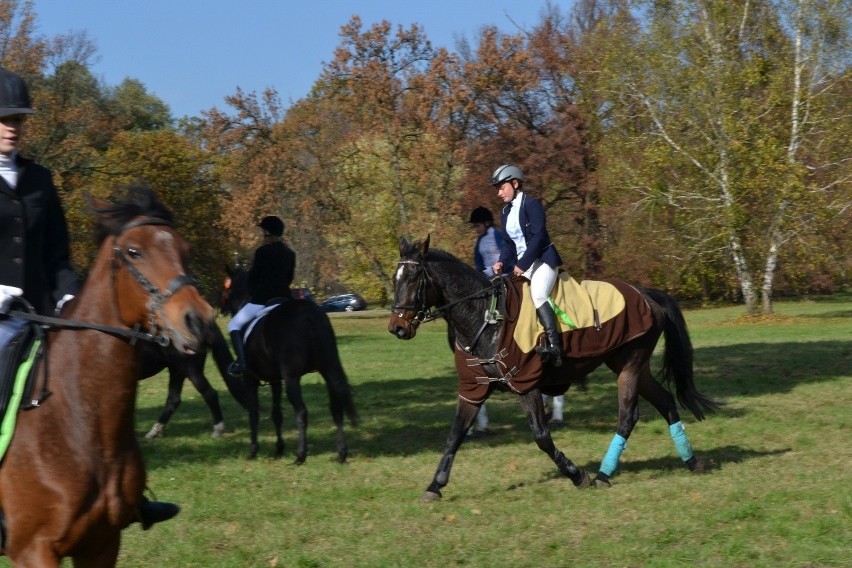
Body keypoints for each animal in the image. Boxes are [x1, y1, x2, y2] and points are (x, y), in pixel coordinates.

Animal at [223, 266, 356, 462]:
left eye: (227, 289)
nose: (222, 309)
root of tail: (308, 314)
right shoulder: (275, 380)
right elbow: (276, 414)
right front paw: (279, 448)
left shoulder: (250, 380)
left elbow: (253, 413)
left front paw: (253, 450)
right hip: (328, 369)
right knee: (336, 409)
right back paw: (341, 453)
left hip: (291, 378)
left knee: (301, 411)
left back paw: (300, 455)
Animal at [390, 236, 724, 502]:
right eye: (395, 279)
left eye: (413, 278)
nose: (397, 328)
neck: (486, 316)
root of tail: (645, 293)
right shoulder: (474, 389)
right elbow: (455, 435)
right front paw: (434, 486)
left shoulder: (526, 386)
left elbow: (541, 437)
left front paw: (577, 474)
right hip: (632, 367)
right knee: (666, 403)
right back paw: (692, 461)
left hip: (630, 366)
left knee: (628, 417)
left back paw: (603, 474)